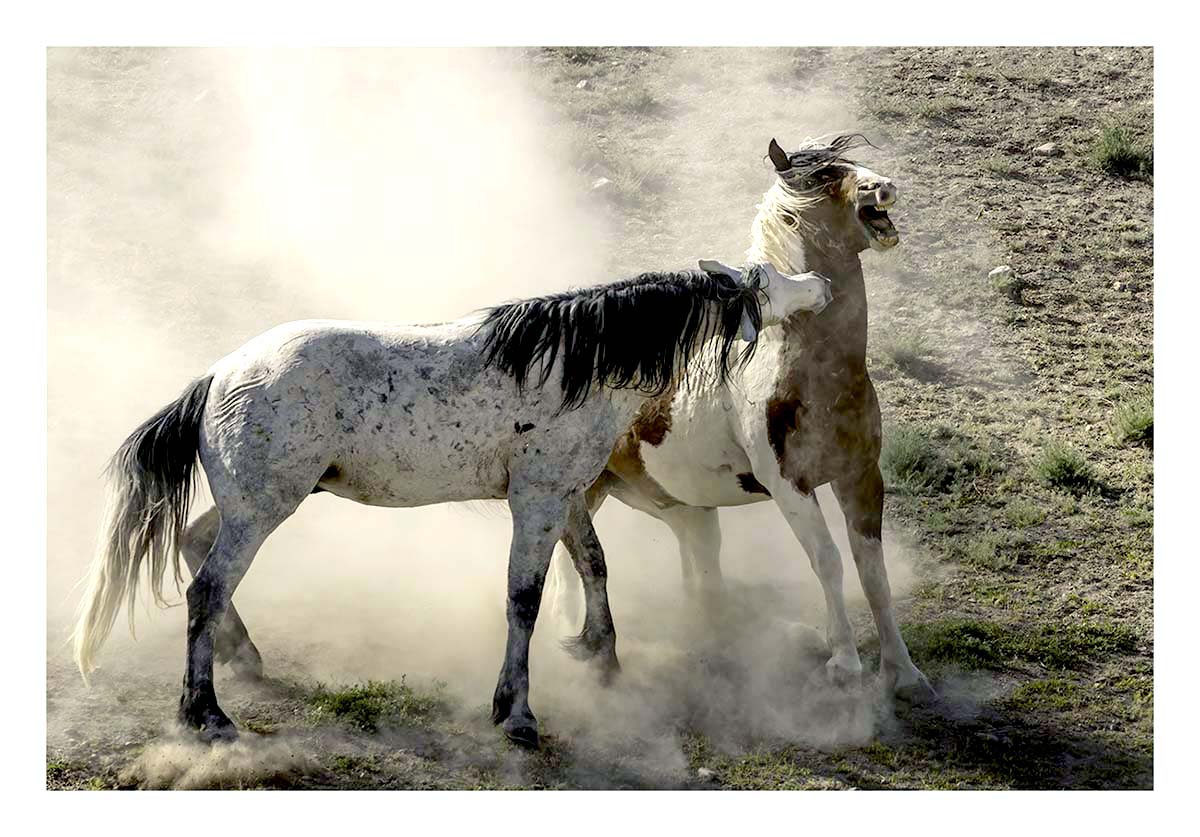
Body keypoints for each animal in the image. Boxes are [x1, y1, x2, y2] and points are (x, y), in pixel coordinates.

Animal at [71, 260, 834, 747]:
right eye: (767, 278)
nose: (822, 285)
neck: (576, 363)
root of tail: (219, 374)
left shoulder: (563, 496)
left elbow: (593, 564)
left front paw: (599, 655)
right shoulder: (536, 501)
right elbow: (524, 597)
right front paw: (517, 713)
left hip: (251, 504)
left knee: (196, 548)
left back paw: (244, 656)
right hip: (262, 509)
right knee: (204, 589)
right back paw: (205, 714)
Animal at [549, 134, 935, 701]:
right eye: (823, 176)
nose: (882, 187)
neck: (800, 370)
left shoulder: (861, 477)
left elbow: (873, 572)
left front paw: (904, 673)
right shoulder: (790, 487)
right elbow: (828, 561)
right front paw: (844, 664)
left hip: (682, 509)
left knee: (698, 575)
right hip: (585, 490)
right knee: (568, 558)